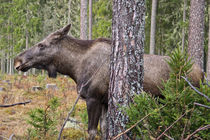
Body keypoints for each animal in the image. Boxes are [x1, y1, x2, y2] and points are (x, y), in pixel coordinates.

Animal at [13, 24, 203, 139]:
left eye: (41, 45)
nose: (17, 60)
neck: (74, 68)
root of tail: (202, 72)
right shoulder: (105, 101)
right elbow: (104, 129)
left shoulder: (93, 98)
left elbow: (91, 131)